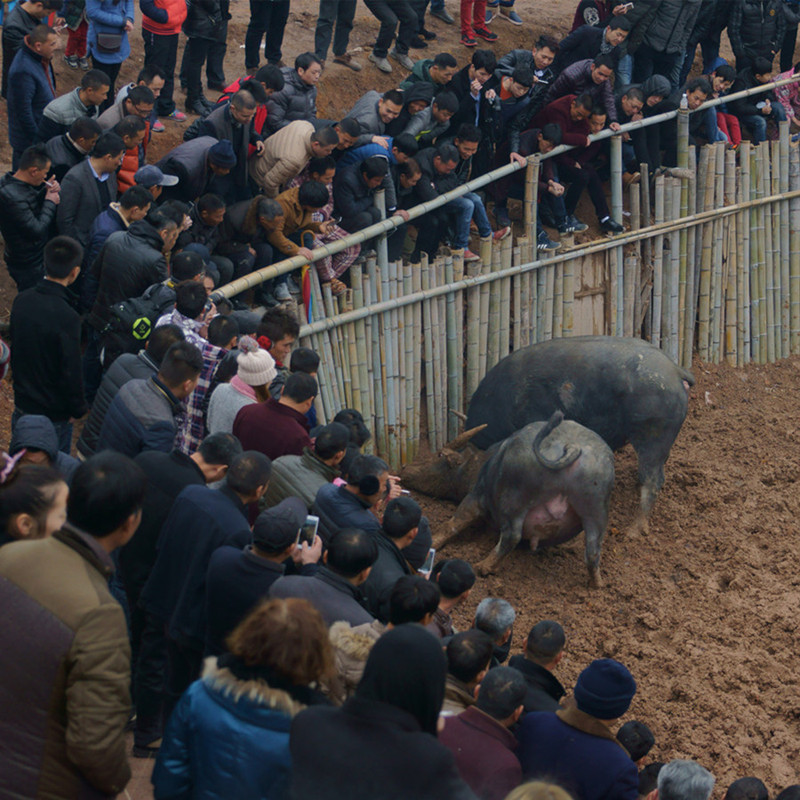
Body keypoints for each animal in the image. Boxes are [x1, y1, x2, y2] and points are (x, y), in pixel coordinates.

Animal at [446, 416, 616, 584]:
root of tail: (572, 446)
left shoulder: (476, 495)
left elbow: (455, 522)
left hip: (515, 500)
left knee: (512, 536)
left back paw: (481, 566)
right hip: (595, 511)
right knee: (593, 552)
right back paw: (598, 584)